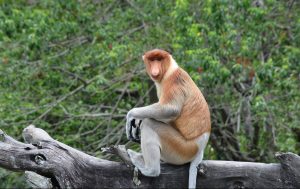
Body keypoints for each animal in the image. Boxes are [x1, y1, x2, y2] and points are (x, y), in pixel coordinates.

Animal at [125, 49, 210, 189]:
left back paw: (150, 169)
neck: (168, 71)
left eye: (159, 60)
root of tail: (201, 146)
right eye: (152, 60)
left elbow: (170, 109)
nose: (155, 69)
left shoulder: (174, 80)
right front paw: (136, 122)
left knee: (150, 124)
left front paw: (131, 116)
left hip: (183, 148)